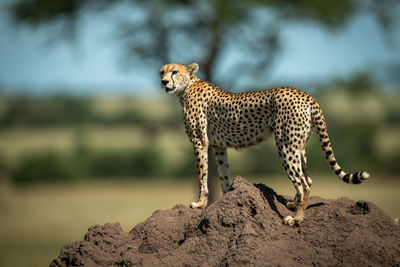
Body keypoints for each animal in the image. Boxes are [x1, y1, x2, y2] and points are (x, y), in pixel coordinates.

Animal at [159, 62, 368, 226]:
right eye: (162, 72)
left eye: (174, 72)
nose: (164, 82)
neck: (186, 87)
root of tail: (305, 95)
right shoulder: (219, 146)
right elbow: (223, 175)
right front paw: (226, 199)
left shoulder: (200, 142)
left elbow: (202, 175)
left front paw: (200, 204)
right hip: (299, 146)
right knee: (307, 178)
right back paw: (293, 205)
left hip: (285, 145)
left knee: (303, 183)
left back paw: (296, 219)